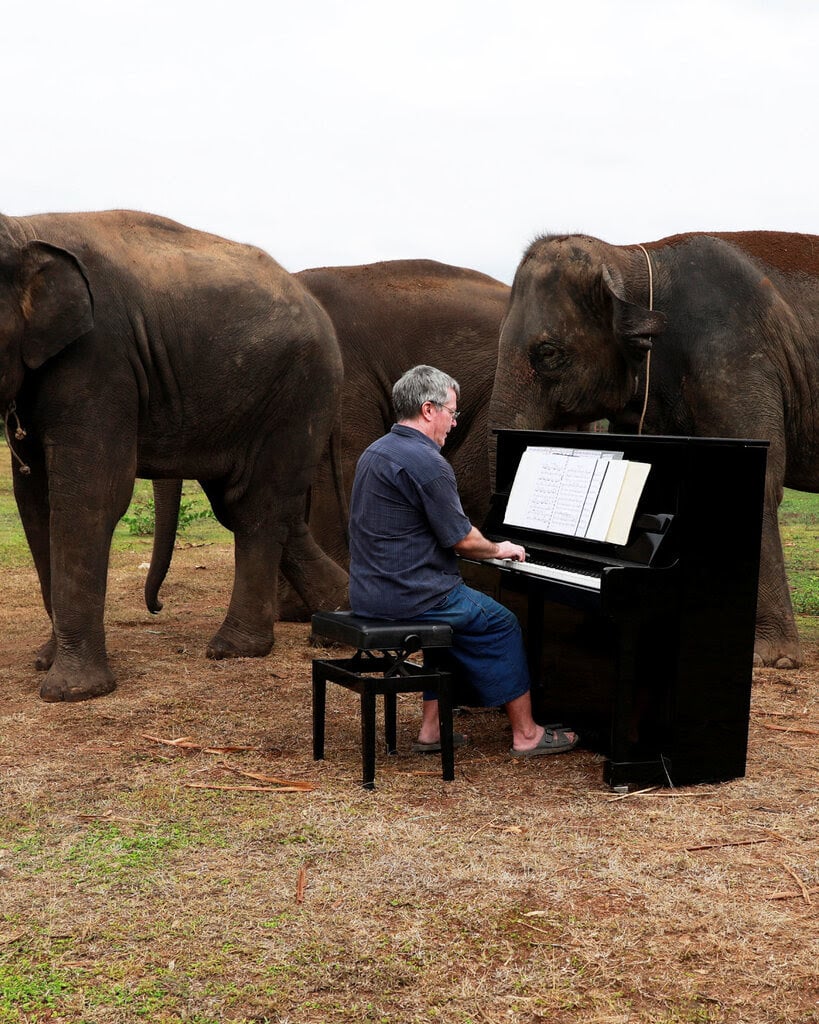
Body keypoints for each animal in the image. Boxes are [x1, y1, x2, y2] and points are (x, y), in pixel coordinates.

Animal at [0, 209, 348, 701]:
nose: (158, 607)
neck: (21, 228)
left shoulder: (99, 359)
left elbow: (90, 496)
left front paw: (71, 692)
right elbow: (34, 501)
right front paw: (44, 663)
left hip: (299, 393)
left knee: (256, 507)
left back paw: (233, 649)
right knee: (255, 506)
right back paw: (340, 616)